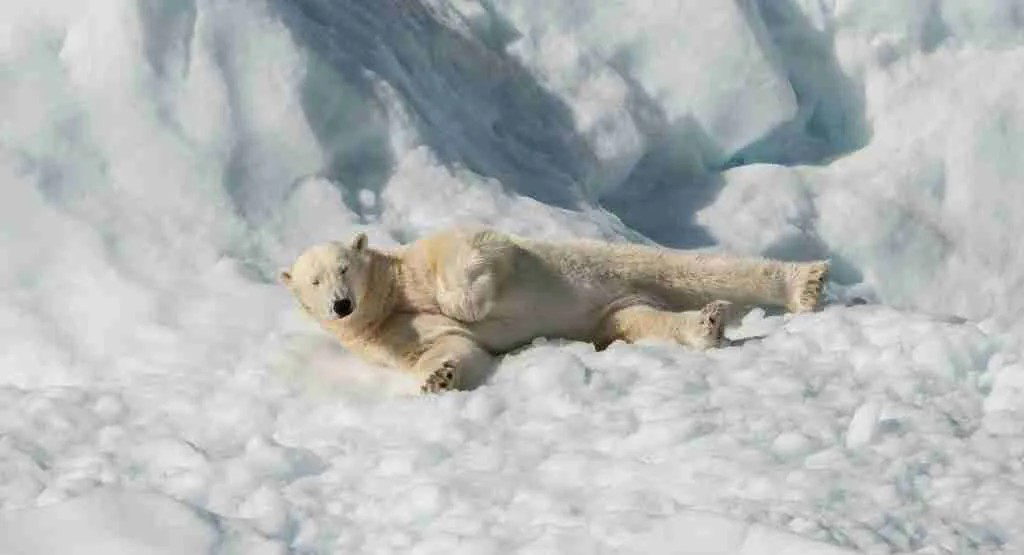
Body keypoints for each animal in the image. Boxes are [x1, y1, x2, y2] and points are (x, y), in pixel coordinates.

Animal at [280, 228, 823, 393]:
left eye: (343, 267)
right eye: (314, 282)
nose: (341, 304)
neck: (389, 296)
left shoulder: (422, 260)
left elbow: (471, 248)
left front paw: (465, 303)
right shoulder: (388, 334)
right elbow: (448, 346)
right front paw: (438, 378)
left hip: (614, 262)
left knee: (697, 268)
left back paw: (806, 283)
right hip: (616, 309)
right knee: (640, 319)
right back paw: (706, 323)